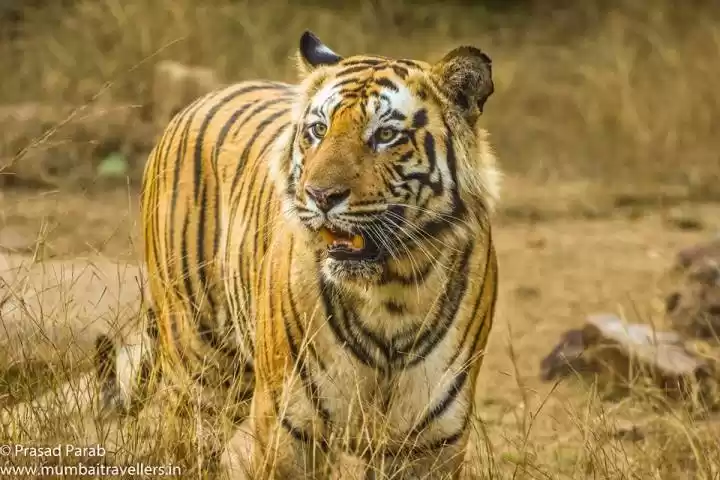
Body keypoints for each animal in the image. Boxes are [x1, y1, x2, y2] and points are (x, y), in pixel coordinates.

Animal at [103, 30, 501, 479]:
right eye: (319, 129)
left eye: (384, 136)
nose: (320, 195)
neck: (391, 292)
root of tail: (196, 103)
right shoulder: (288, 427)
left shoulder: (431, 443)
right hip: (200, 368)